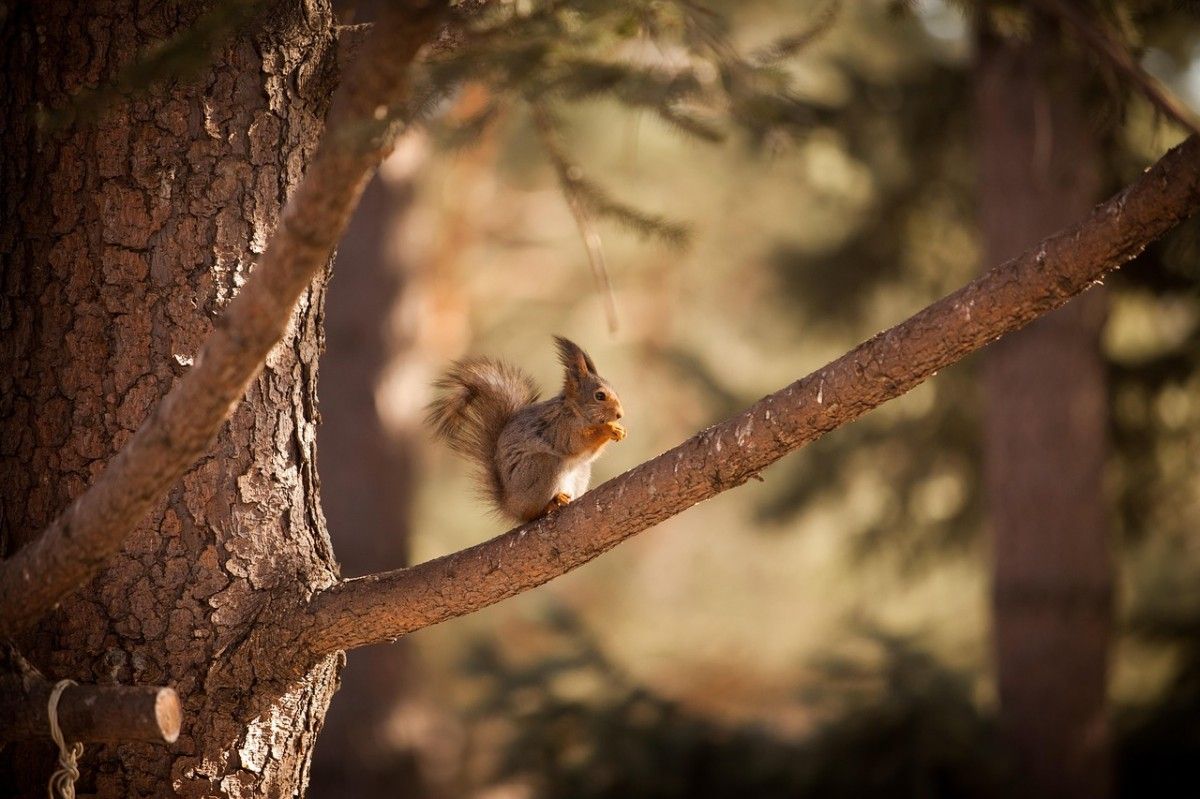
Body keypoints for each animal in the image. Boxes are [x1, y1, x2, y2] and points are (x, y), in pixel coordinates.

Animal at [427, 336, 626, 523]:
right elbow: (575, 444)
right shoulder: (560, 428)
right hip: (541, 468)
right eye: (600, 396)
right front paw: (608, 429)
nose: (620, 414)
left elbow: (589, 453)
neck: (575, 411)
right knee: (531, 513)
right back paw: (550, 503)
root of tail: (510, 505)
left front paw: (619, 429)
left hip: (581, 472)